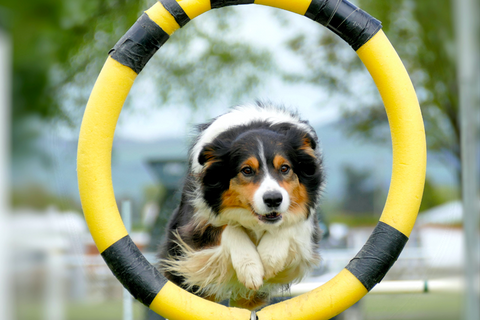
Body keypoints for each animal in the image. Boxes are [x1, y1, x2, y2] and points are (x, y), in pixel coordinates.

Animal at [159, 102, 324, 310]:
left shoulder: (307, 226)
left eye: (285, 168)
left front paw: (268, 259)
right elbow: (230, 228)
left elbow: (291, 224)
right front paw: (251, 268)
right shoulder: (194, 229)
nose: (273, 199)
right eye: (246, 170)